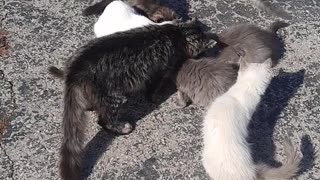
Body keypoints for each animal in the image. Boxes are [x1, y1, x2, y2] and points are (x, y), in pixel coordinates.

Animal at [59, 19, 212, 180]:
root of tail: (75, 67)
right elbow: (152, 89)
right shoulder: (158, 71)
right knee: (103, 120)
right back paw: (122, 128)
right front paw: (155, 97)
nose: (206, 52)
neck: (176, 33)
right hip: (114, 96)